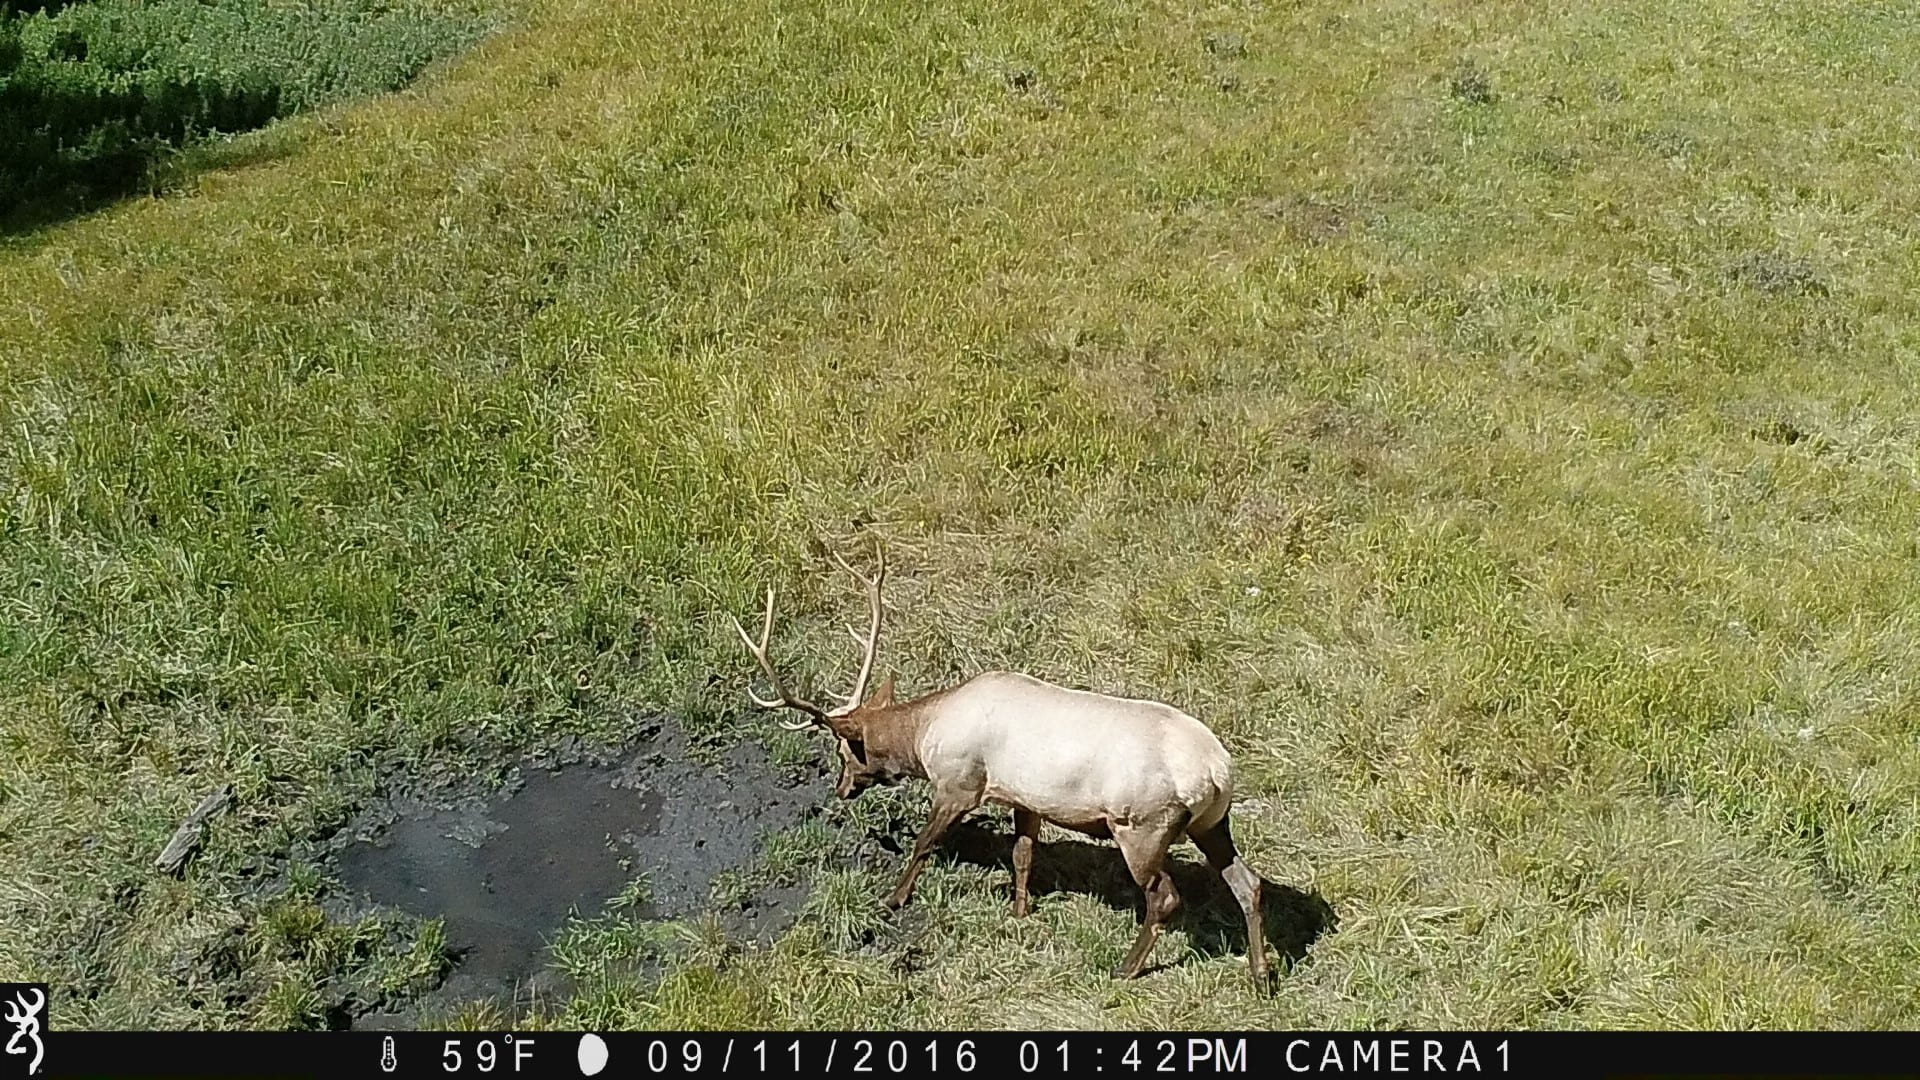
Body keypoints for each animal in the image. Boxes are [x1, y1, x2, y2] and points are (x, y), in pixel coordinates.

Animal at [725, 543, 1273, 991]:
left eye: (845, 752)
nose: (840, 789)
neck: (926, 735)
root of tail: (1218, 773)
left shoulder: (960, 783)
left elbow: (925, 844)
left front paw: (894, 899)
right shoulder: (1024, 797)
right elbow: (1023, 855)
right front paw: (1020, 910)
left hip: (1141, 824)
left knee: (1164, 898)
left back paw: (1126, 968)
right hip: (1212, 821)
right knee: (1249, 883)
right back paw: (1260, 974)